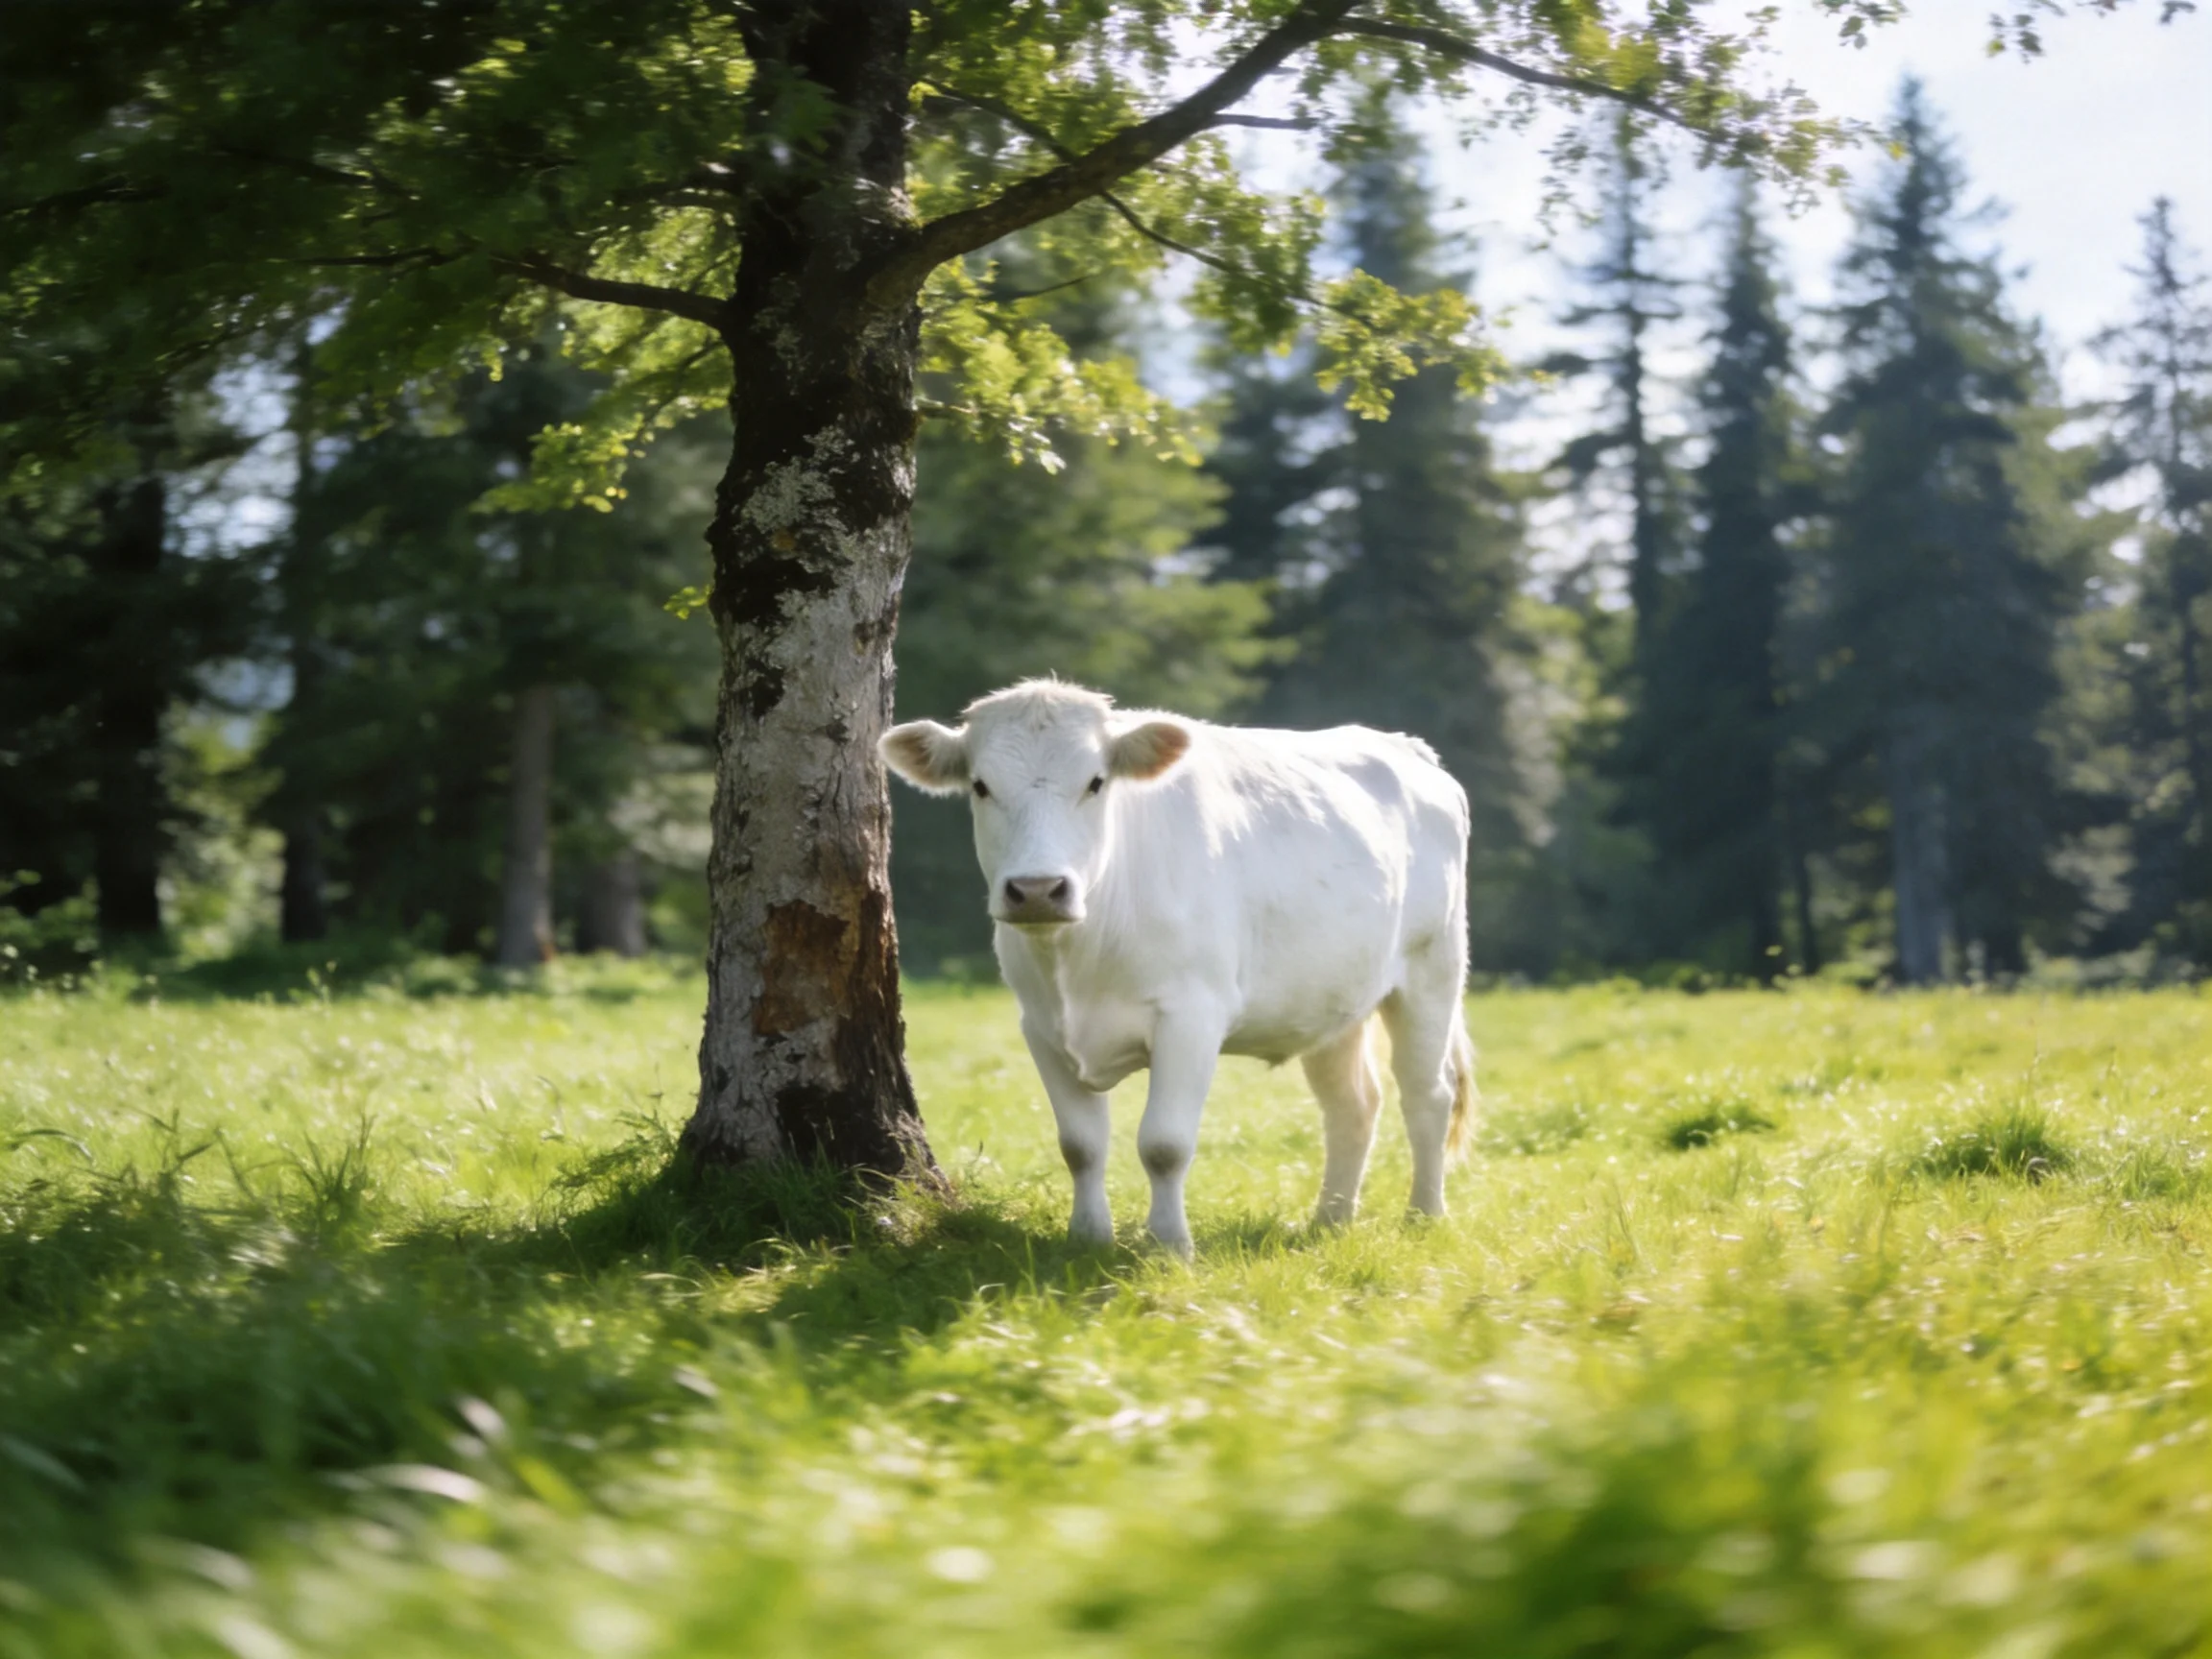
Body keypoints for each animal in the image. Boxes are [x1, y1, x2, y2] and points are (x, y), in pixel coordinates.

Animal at [881, 680, 1477, 1255]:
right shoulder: (1042, 1026)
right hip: (1332, 998)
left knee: (1427, 1094)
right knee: (1353, 1104)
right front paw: (1088, 1239)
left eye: (1096, 783)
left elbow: (1164, 1144)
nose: (1037, 890)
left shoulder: (1192, 1017)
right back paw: (1330, 1219)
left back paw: (1424, 1215)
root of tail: (1406, 747)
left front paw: (1169, 1244)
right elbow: (1080, 1146)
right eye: (981, 786)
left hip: (1432, 970)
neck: (1080, 954)